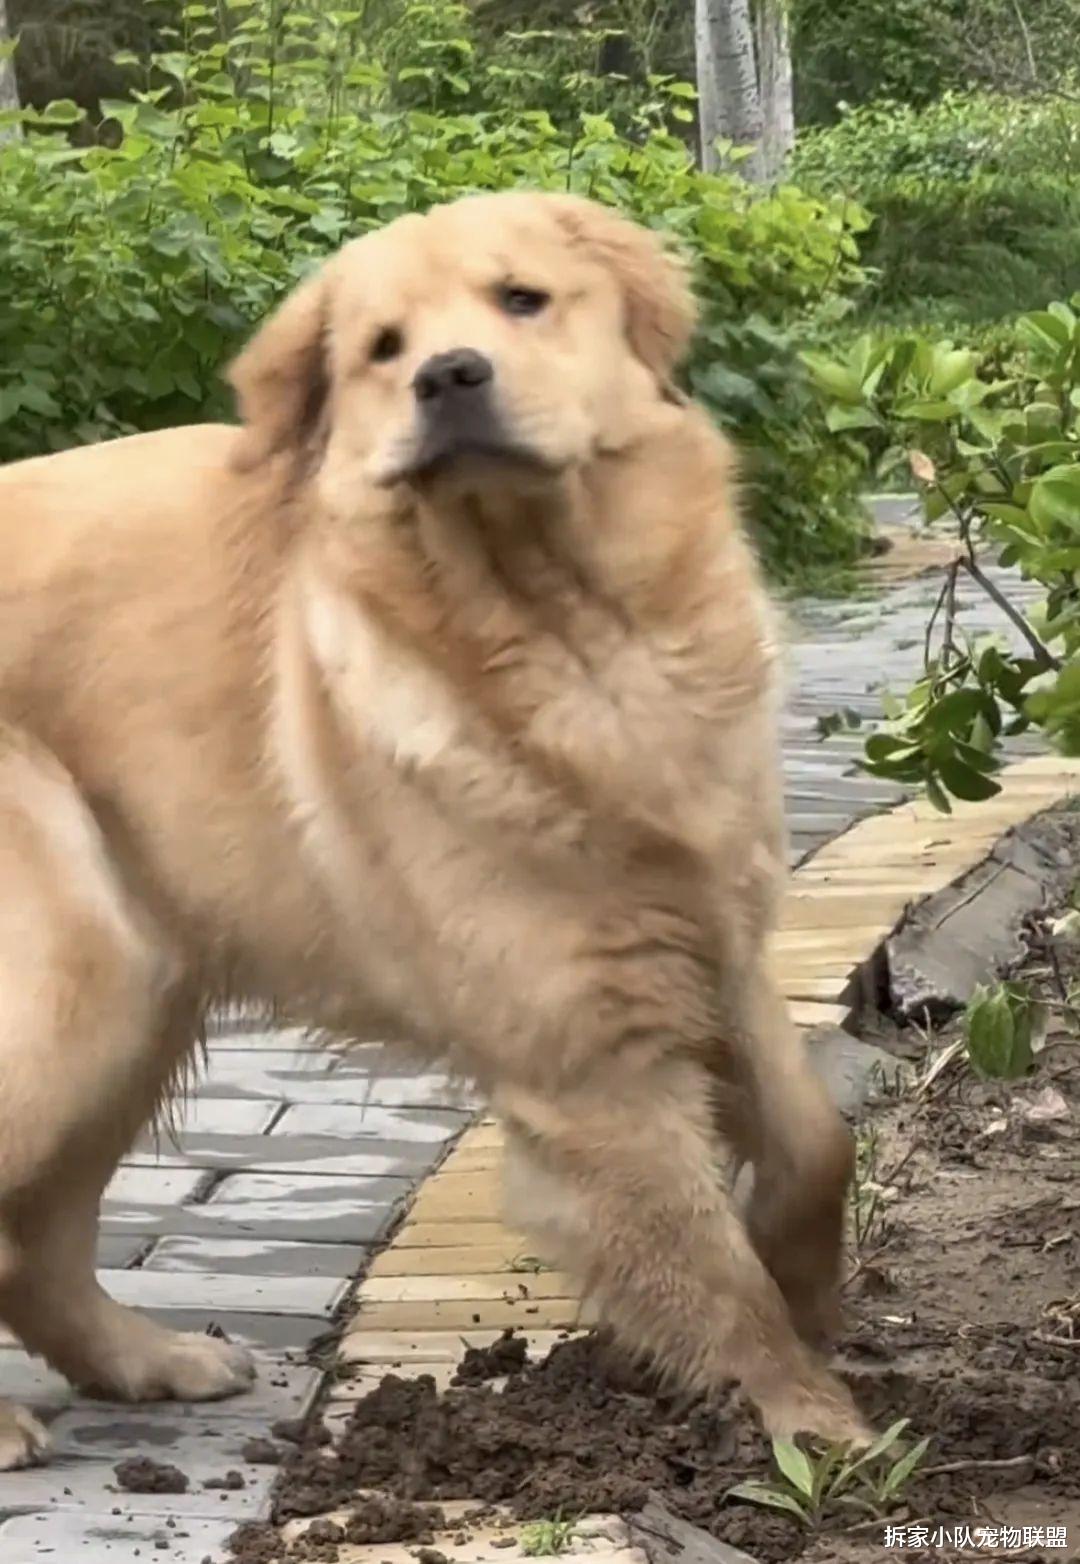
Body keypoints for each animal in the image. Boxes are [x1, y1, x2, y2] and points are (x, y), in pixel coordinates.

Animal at [0, 190, 867, 1468]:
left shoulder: (717, 943)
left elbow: (816, 1143)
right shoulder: (590, 1058)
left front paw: (809, 1291)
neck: (563, 627)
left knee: (38, 1239)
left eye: (522, 299)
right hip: (72, 982)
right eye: (382, 348)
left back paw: (148, 1358)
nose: (451, 376)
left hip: (137, 989)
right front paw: (820, 1424)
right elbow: (708, 1267)